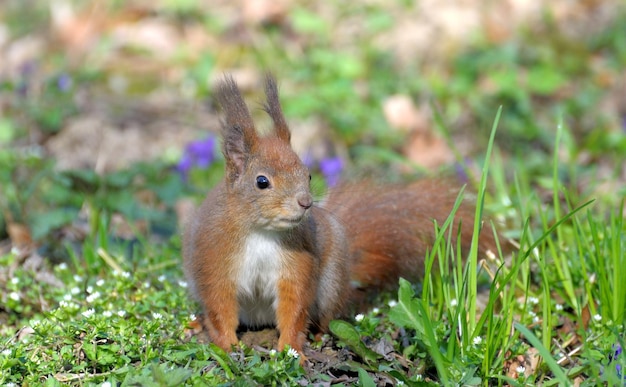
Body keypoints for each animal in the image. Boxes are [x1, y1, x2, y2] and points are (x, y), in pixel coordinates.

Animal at [182, 74, 498, 360]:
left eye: (308, 174)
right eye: (262, 182)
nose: (306, 202)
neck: (262, 232)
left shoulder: (297, 264)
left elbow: (294, 307)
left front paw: (291, 350)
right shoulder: (216, 262)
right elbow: (220, 307)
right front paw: (226, 345)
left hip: (330, 284)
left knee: (324, 315)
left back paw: (319, 337)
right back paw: (196, 323)